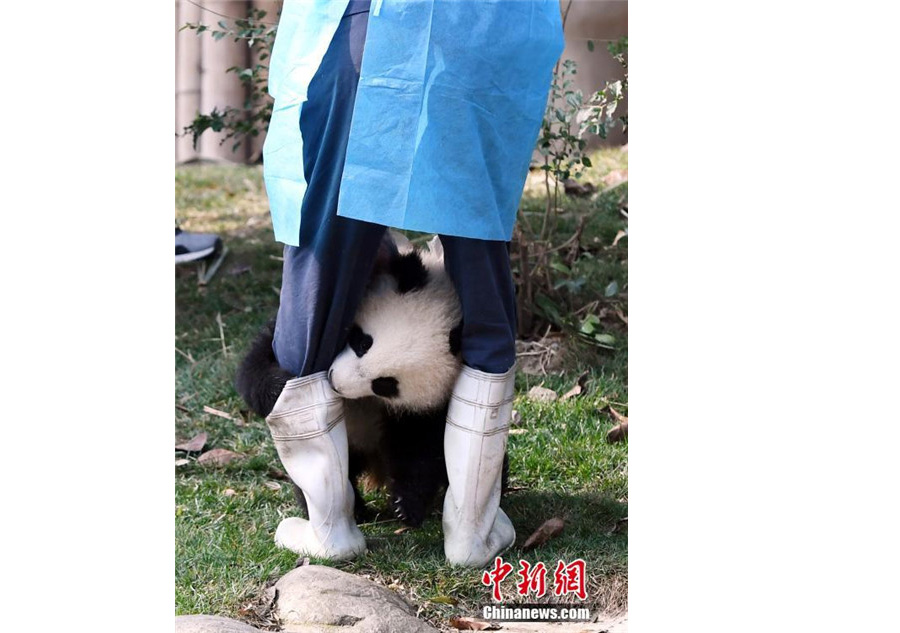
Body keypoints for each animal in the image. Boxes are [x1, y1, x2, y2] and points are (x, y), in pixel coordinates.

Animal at [236, 234, 506, 527]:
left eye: (386, 384)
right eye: (363, 342)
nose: (335, 382)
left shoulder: (431, 405)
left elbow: (419, 446)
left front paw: (405, 506)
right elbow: (255, 367)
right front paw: (283, 387)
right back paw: (347, 508)